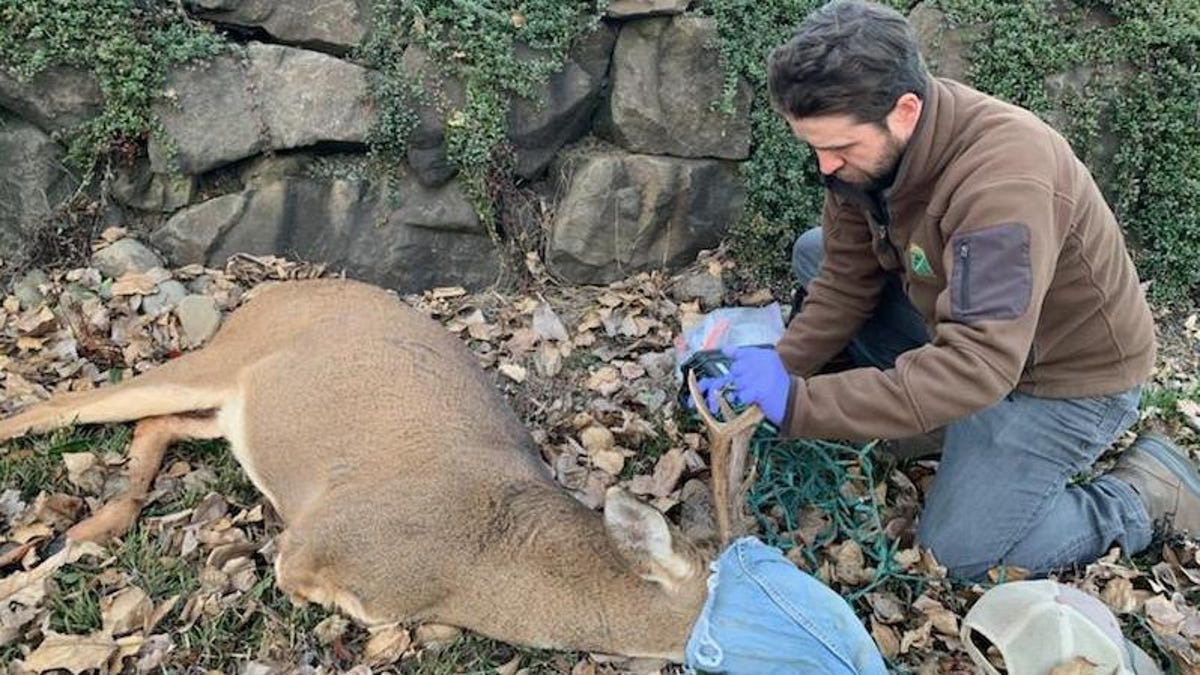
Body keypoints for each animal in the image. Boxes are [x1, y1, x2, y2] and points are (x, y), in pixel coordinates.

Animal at [0, 276, 763, 658]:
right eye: (745, 595)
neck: (483, 562)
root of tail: (268, 290)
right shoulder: (313, 546)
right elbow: (358, 605)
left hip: (227, 407)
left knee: (156, 425)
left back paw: (92, 526)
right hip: (216, 359)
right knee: (60, 407)